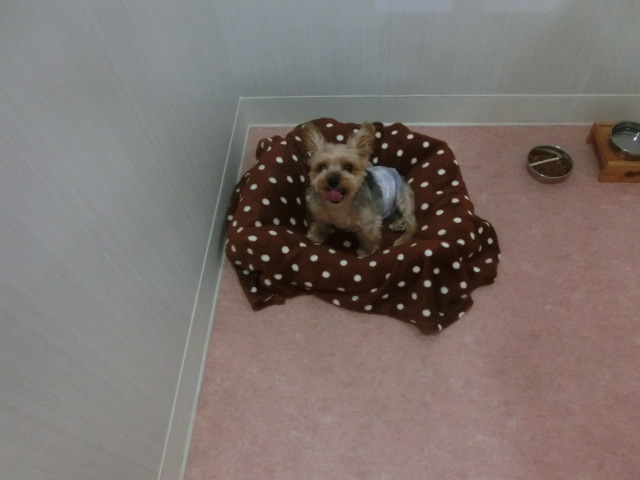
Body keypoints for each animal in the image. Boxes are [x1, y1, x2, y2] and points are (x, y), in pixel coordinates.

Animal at [301, 122, 417, 257]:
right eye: (321, 167)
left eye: (348, 167)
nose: (332, 181)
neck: (339, 206)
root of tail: (395, 172)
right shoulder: (319, 213)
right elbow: (320, 223)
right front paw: (315, 236)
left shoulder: (370, 221)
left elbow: (369, 236)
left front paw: (366, 252)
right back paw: (399, 223)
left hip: (403, 197)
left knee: (412, 221)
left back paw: (401, 232)